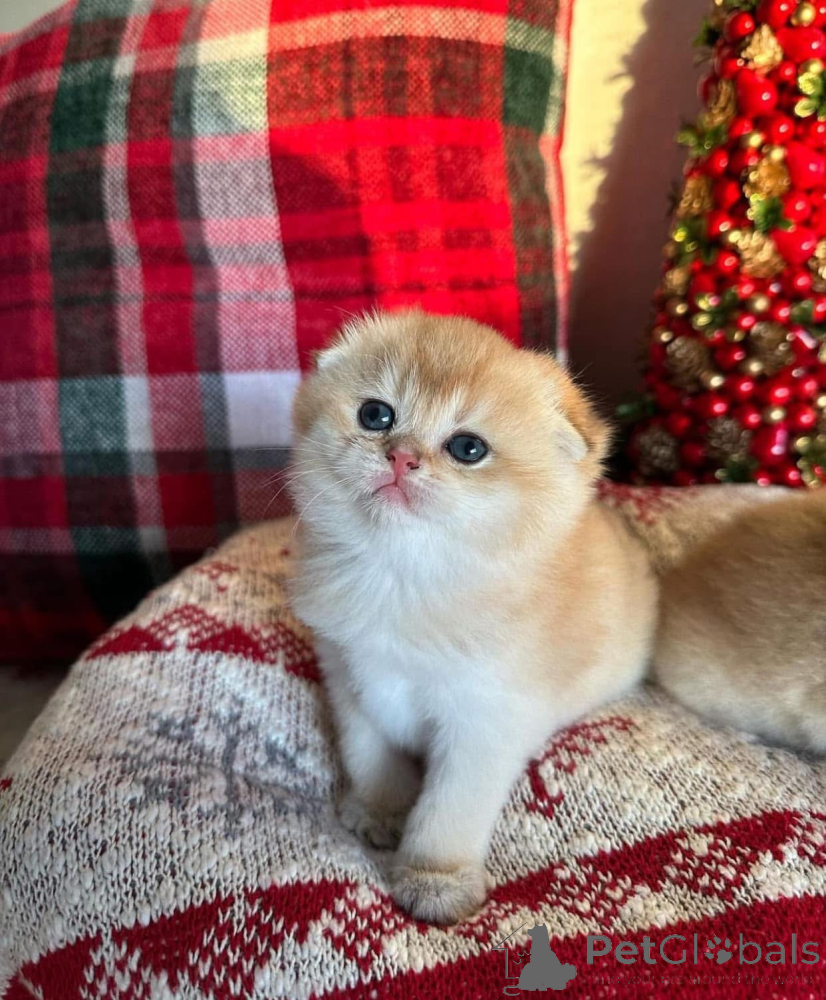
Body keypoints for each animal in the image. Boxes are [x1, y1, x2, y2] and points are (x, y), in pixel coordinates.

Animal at [288, 309, 657, 924]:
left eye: (467, 448)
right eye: (376, 415)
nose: (401, 456)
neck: (401, 577)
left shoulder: (484, 723)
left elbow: (449, 809)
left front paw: (435, 881)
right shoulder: (351, 682)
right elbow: (371, 758)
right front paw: (380, 813)